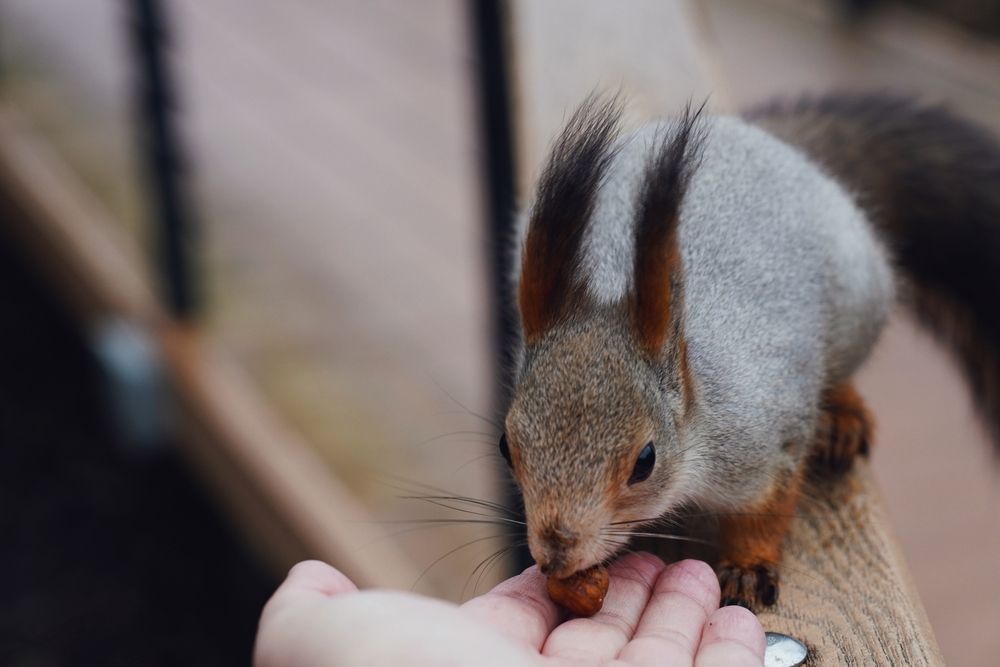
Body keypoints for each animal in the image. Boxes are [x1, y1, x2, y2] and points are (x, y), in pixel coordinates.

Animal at [499, 93, 1000, 610]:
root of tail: (774, 145)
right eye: (505, 446)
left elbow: (764, 511)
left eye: (645, 461)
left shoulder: (765, 445)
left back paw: (843, 415)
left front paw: (748, 567)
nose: (555, 553)